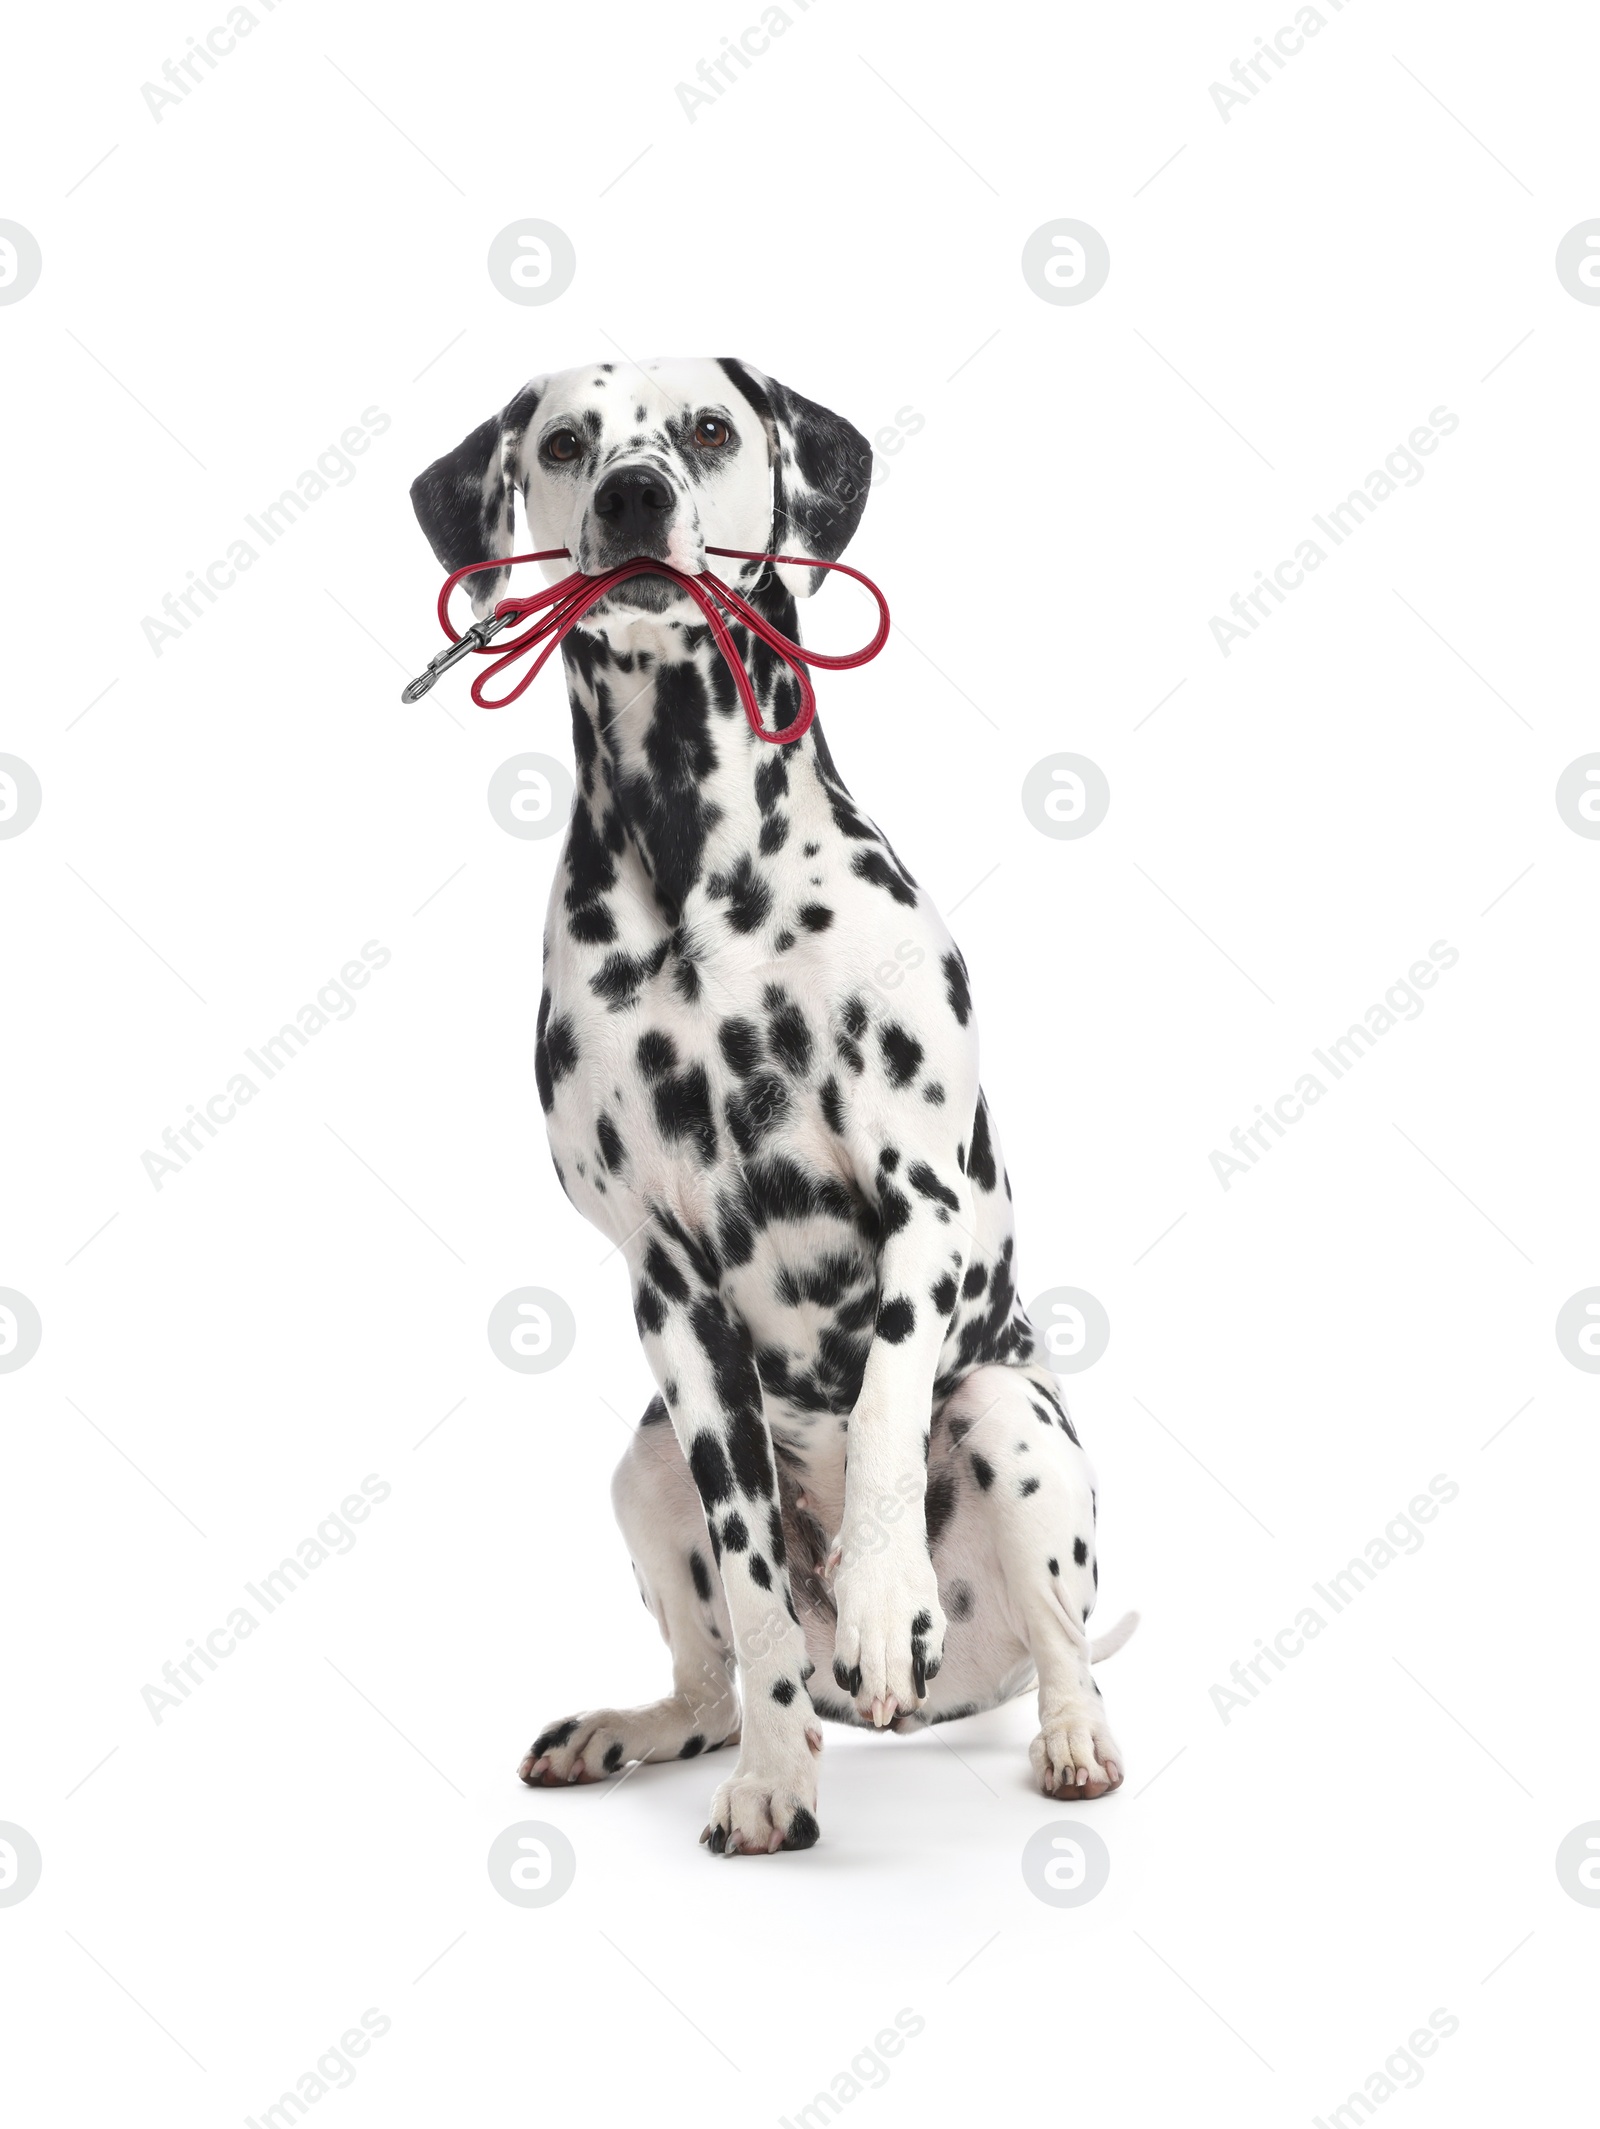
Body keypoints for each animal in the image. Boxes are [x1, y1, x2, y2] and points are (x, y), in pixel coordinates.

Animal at [412, 357, 1140, 1856]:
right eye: (564, 441)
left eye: (706, 428)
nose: (635, 496)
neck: (696, 861)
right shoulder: (671, 1291)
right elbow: (751, 1585)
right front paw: (773, 1782)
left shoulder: (922, 1203)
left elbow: (881, 1406)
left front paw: (879, 1594)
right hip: (640, 1463)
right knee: (719, 1673)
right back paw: (658, 1726)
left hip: (1015, 1422)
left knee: (1062, 1643)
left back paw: (1064, 1732)